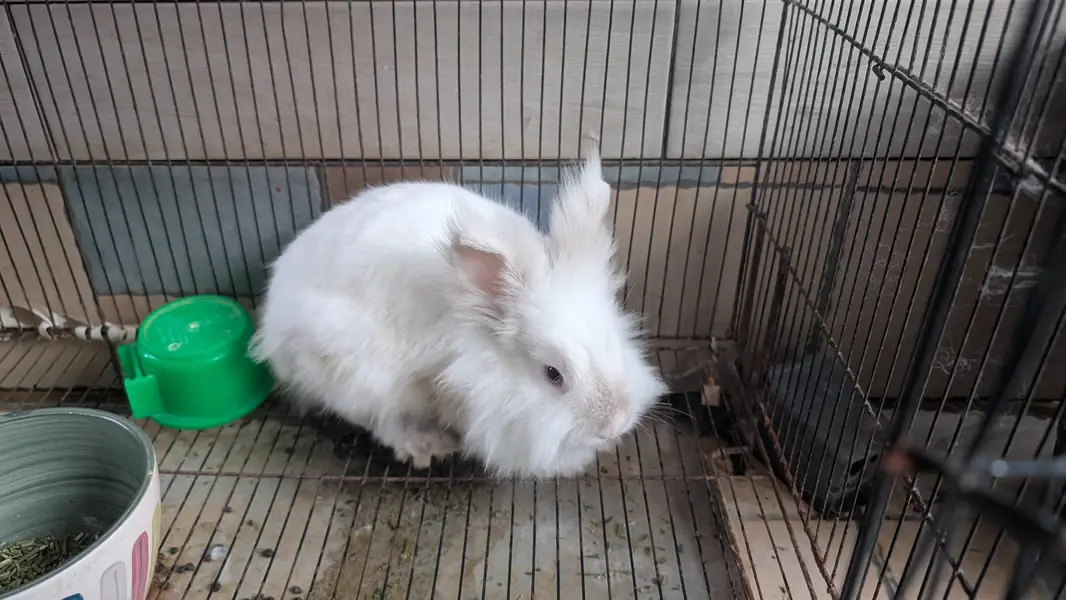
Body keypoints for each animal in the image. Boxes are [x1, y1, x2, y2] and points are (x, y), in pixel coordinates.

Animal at [249, 150, 668, 478]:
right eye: (553, 374)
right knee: (379, 418)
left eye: (617, 342)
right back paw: (423, 444)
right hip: (354, 370)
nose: (615, 423)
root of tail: (271, 321)